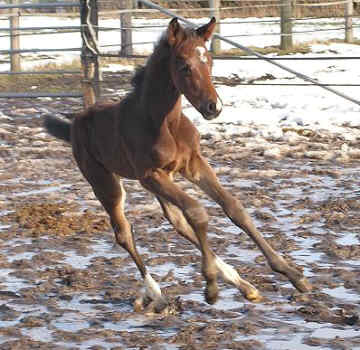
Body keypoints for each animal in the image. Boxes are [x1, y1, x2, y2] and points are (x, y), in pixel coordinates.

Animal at [43, 17, 312, 312]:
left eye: (209, 61)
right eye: (184, 65)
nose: (213, 107)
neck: (164, 123)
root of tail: (74, 124)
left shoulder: (192, 163)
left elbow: (233, 208)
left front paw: (294, 275)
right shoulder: (151, 175)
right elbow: (198, 212)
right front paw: (210, 286)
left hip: (161, 182)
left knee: (177, 222)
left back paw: (243, 284)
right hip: (105, 182)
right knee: (124, 233)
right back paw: (158, 294)